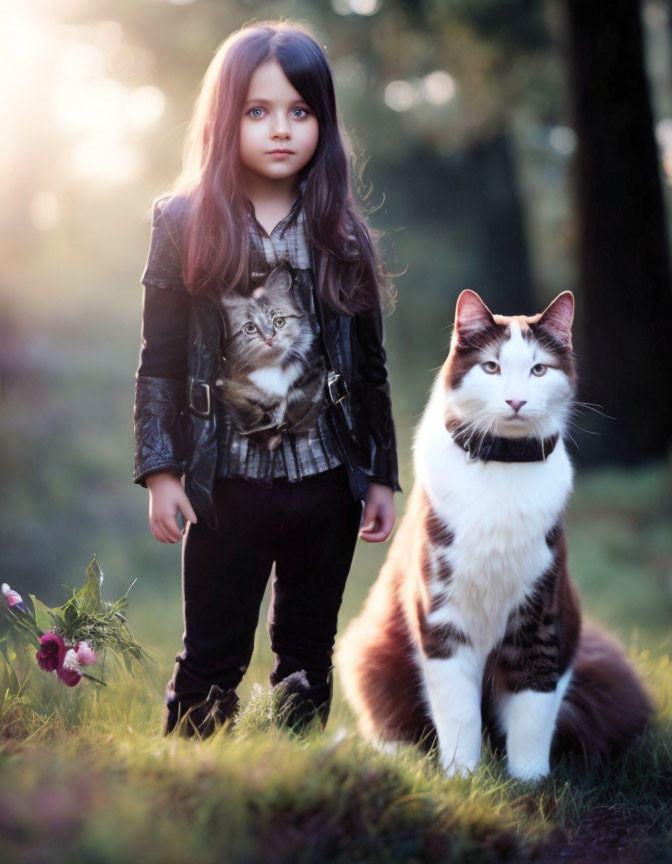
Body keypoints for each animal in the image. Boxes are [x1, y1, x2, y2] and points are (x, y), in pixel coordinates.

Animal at [338, 292, 652, 784]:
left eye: (539, 369)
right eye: (491, 367)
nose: (516, 400)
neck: (504, 463)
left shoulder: (541, 613)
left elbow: (533, 710)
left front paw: (531, 783)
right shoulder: (441, 616)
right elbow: (458, 713)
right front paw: (463, 778)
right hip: (368, 649)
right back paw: (398, 754)